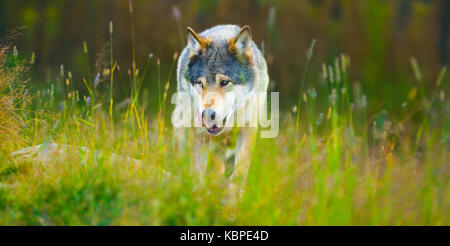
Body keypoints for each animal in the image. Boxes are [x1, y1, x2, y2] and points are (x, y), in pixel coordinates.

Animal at [174, 24, 268, 198]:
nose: (206, 115)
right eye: (200, 83)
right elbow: (197, 173)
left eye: (224, 82)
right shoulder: (199, 134)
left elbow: (239, 173)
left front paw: (233, 199)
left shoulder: (248, 129)